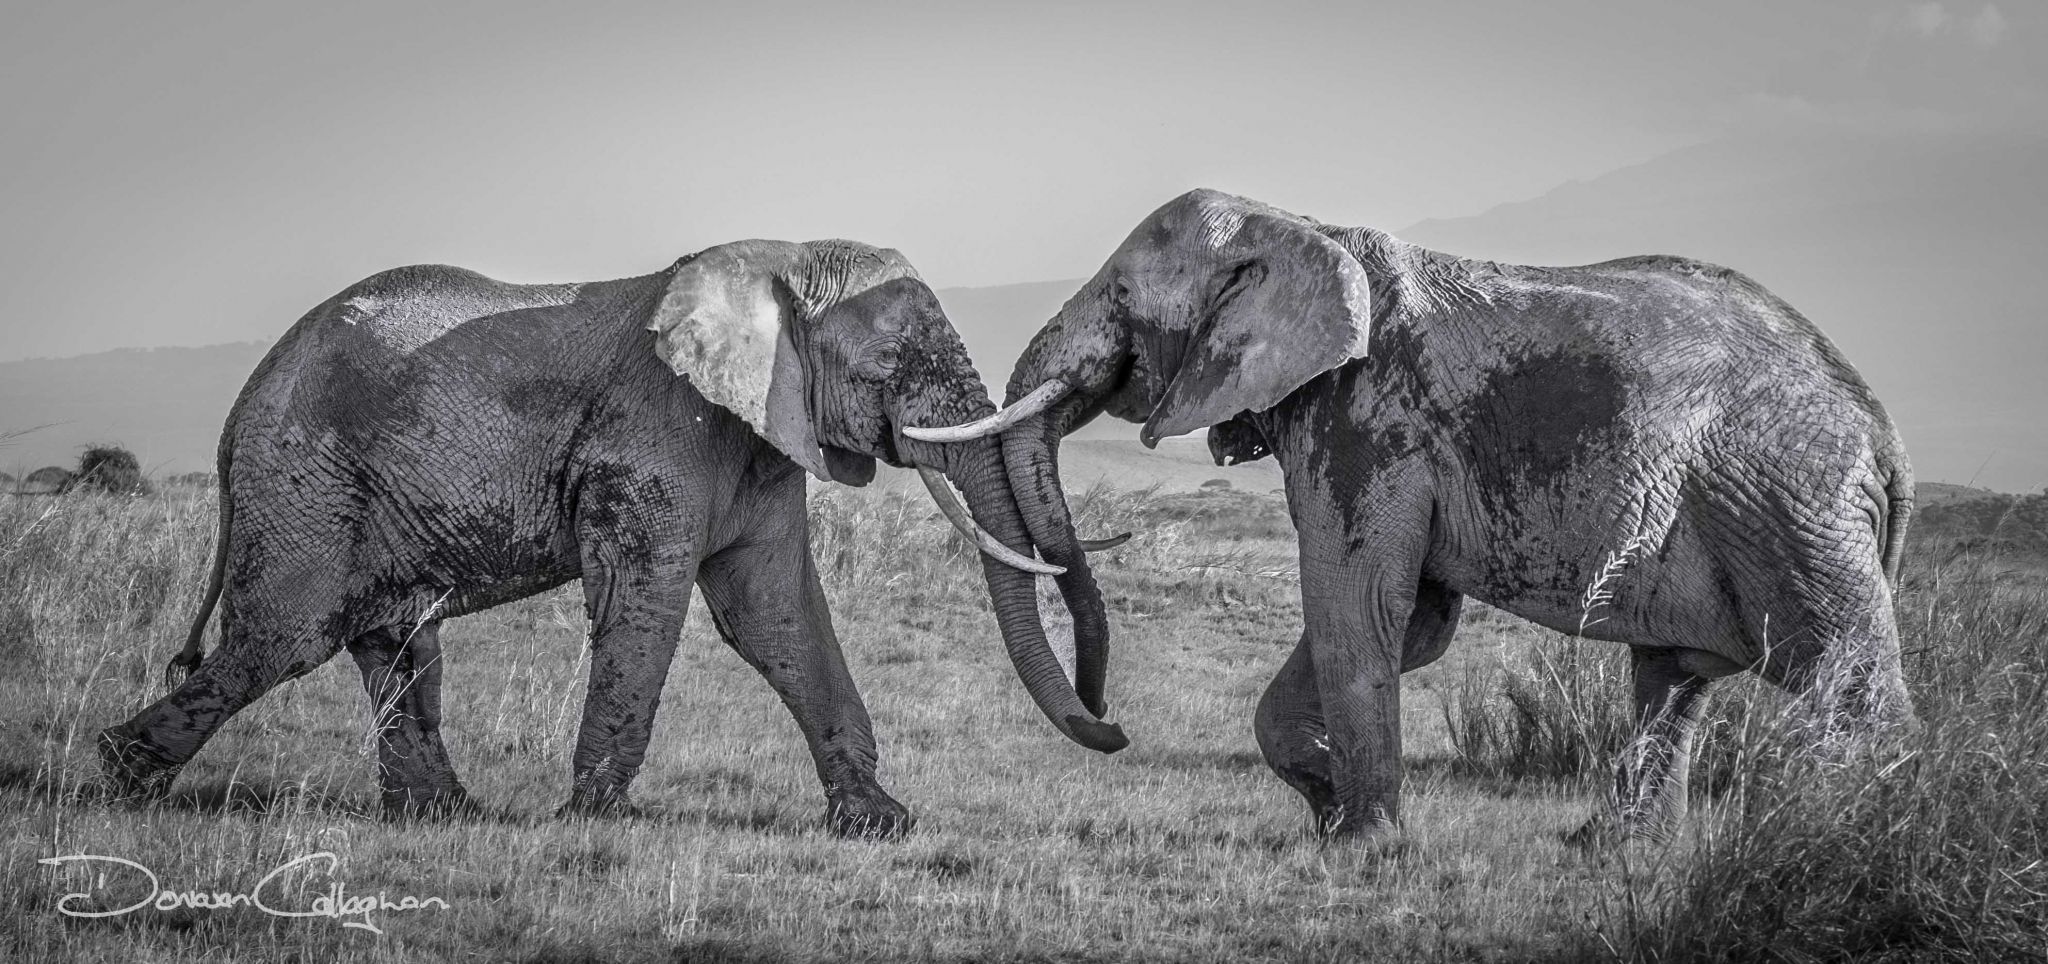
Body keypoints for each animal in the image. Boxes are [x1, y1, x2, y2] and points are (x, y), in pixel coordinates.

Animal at [98, 238, 1127, 838]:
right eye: (891, 366)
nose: (1112, 730)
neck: (778, 255)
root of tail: (241, 402)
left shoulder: (757, 440)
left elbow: (776, 616)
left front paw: (882, 824)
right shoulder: (657, 435)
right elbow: (648, 598)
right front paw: (595, 823)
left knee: (395, 642)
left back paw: (442, 817)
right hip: (307, 477)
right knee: (287, 635)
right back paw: (121, 777)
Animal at [908, 189, 1914, 840]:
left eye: (1121, 299)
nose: (1111, 727)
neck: (1301, 227)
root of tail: (1882, 431)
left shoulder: (1370, 417)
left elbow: (1358, 607)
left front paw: (1363, 845)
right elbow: (1411, 622)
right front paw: (1328, 809)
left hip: (1792, 508)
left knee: (1847, 682)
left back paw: (1857, 840)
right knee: (1674, 677)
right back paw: (1617, 847)